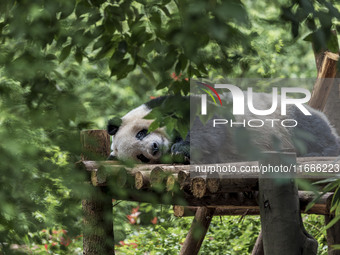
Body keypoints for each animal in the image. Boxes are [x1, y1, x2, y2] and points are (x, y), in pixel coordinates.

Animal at [107, 93, 340, 163]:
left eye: (141, 133)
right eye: (141, 157)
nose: (154, 148)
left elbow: (204, 121)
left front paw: (182, 149)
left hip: (284, 116)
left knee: (310, 128)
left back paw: (323, 150)